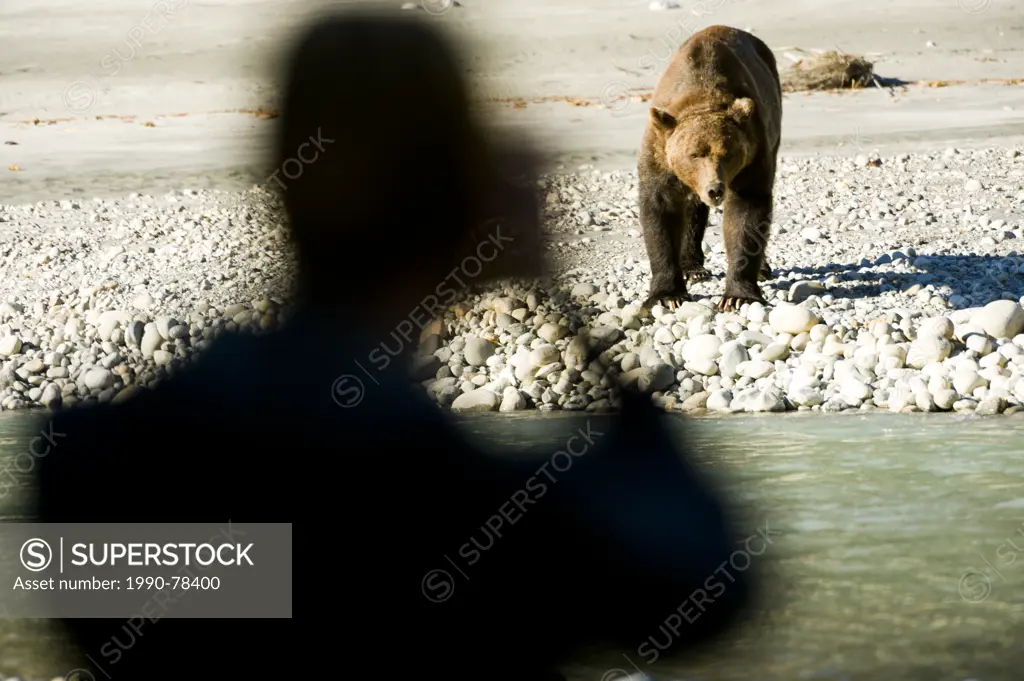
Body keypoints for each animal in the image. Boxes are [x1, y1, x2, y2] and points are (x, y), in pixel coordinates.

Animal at [634, 25, 778, 311]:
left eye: (728, 153)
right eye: (694, 154)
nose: (715, 189)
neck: (702, 95)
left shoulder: (753, 154)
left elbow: (747, 215)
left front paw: (737, 295)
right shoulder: (660, 151)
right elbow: (660, 213)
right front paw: (667, 295)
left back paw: (763, 268)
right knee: (692, 207)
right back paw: (693, 268)